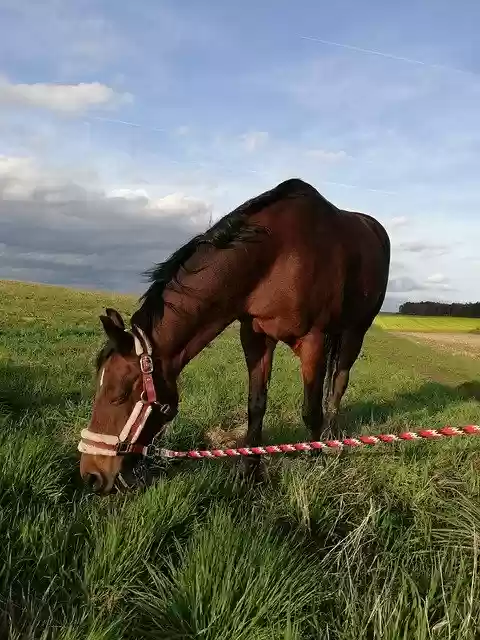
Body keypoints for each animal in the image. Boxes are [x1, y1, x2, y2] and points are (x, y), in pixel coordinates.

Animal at [78, 178, 391, 494]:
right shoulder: (254, 337)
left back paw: (329, 438)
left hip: (355, 331)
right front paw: (249, 471)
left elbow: (311, 410)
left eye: (119, 395)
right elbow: (256, 405)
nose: (91, 474)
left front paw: (316, 462)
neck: (279, 255)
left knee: (338, 383)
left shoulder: (312, 340)